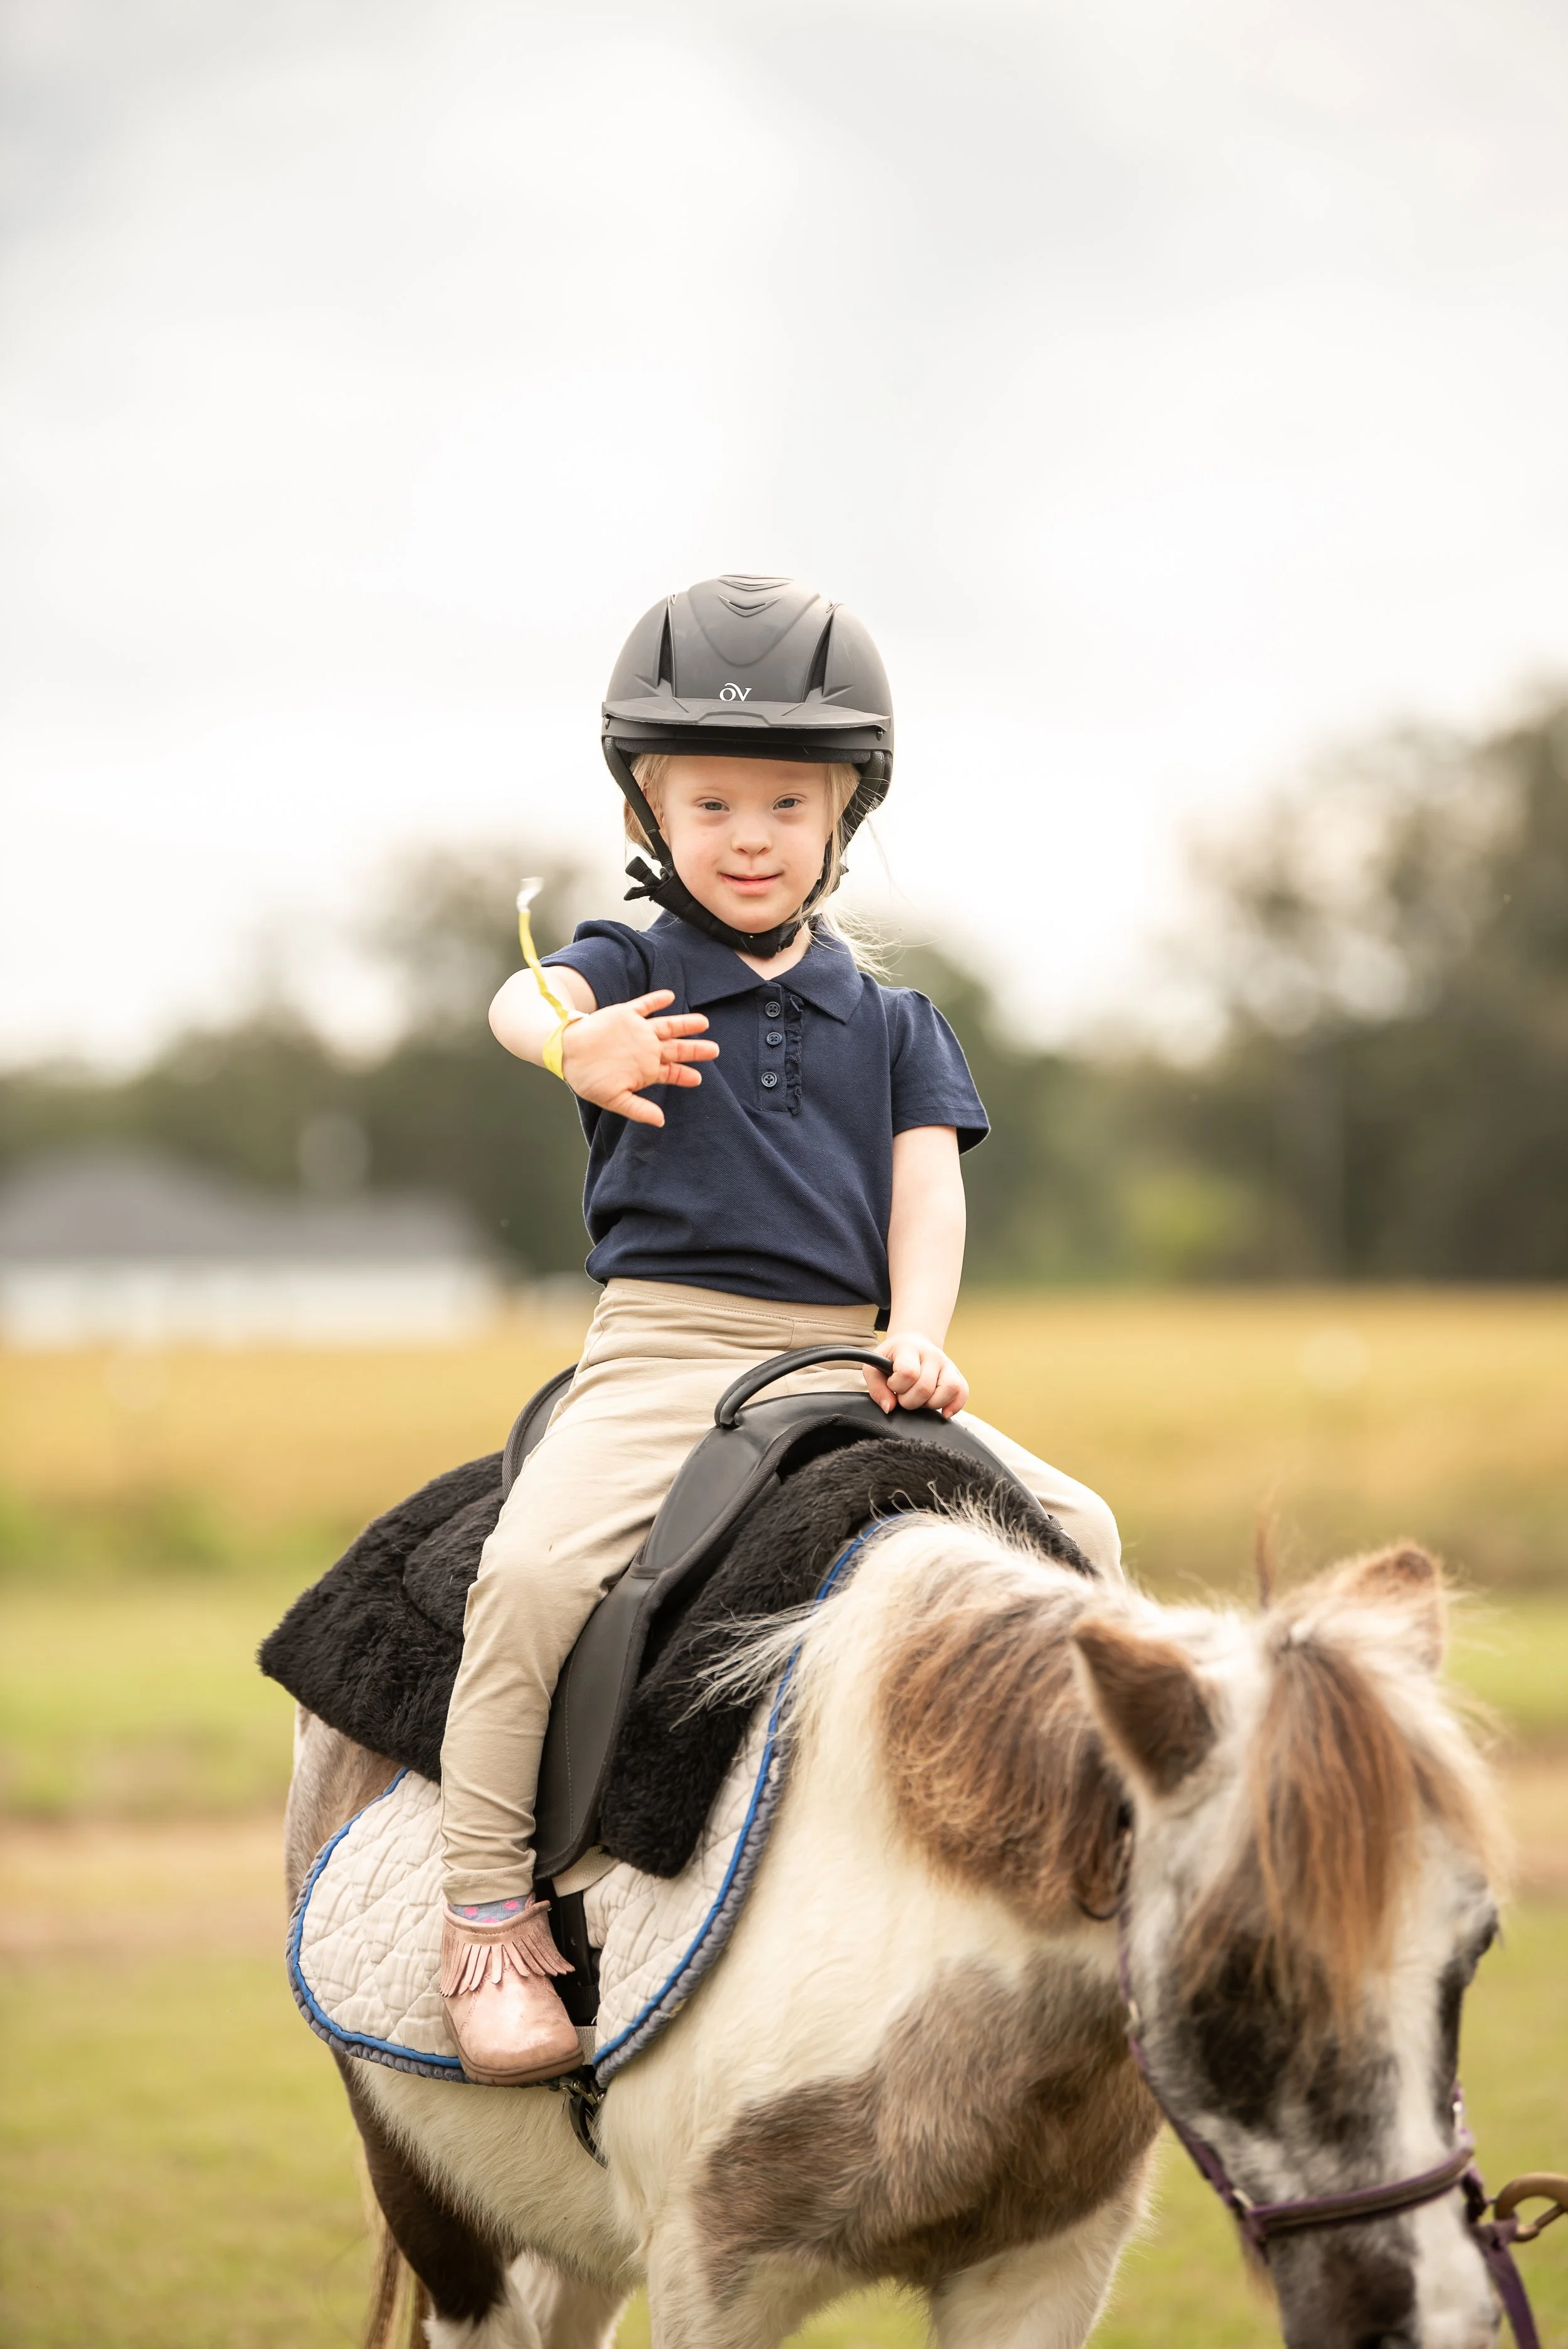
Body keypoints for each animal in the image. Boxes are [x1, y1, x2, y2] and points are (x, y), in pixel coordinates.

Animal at [284, 1509, 1508, 2349]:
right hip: (436, 2205)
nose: (1434, 2318)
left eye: (1477, 1948)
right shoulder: (712, 2279)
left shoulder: (1039, 2273)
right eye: (1235, 1975)